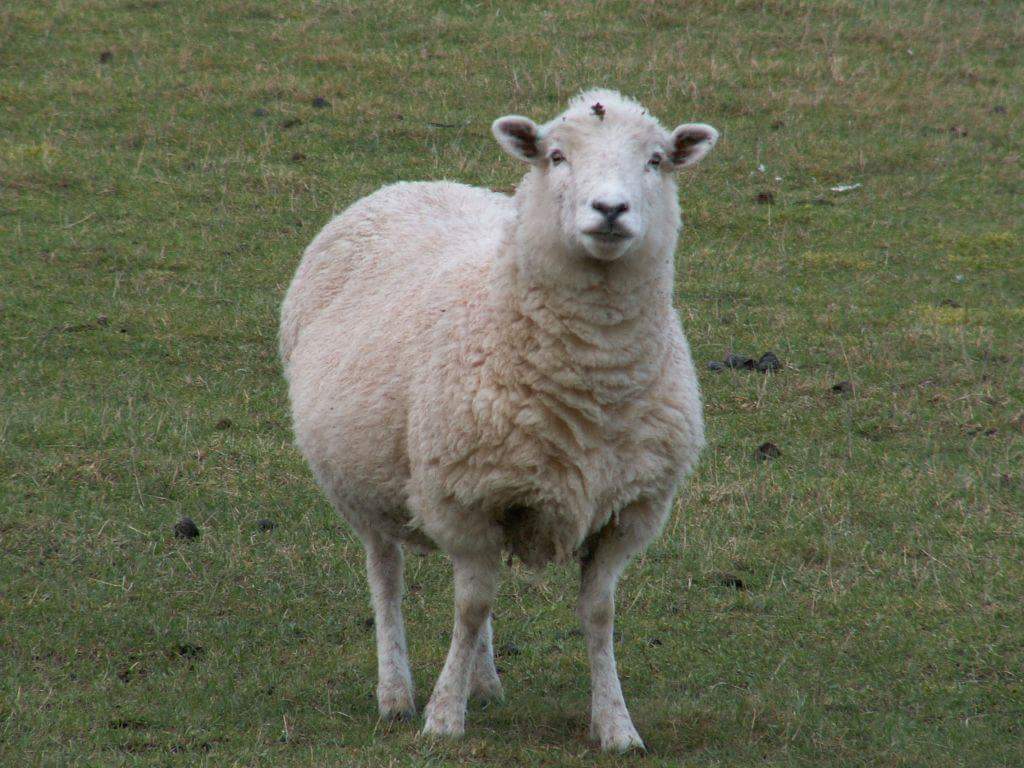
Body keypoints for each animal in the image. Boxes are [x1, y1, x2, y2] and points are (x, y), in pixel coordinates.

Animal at [279, 89, 718, 752]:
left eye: (657, 160)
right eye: (556, 156)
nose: (610, 209)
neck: (593, 381)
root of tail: (414, 183)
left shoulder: (627, 511)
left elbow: (597, 614)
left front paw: (616, 725)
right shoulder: (463, 498)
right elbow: (469, 609)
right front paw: (442, 718)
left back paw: (483, 683)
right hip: (363, 485)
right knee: (387, 577)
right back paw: (396, 693)